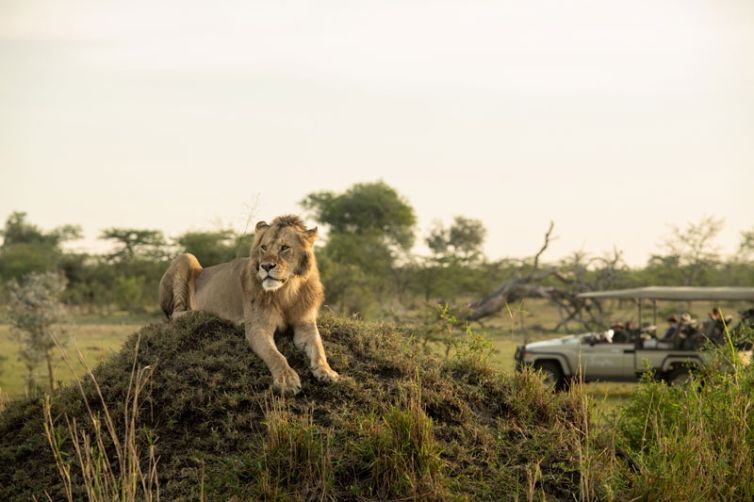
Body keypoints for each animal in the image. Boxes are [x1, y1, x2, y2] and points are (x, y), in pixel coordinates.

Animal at [159, 215, 339, 395]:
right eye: (264, 247)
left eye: (284, 248)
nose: (266, 266)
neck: (286, 291)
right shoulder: (257, 327)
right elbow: (275, 355)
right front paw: (286, 380)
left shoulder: (305, 324)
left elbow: (318, 347)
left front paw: (327, 371)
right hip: (186, 257)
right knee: (175, 313)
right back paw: (204, 313)